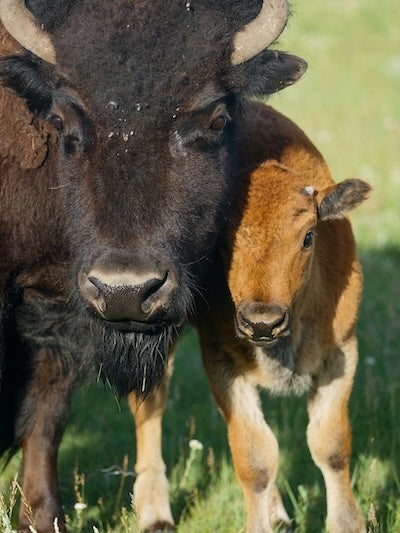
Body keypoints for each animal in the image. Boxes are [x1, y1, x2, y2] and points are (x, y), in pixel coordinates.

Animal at [0, 1, 306, 532]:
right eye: (60, 118)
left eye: (216, 119)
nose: (125, 291)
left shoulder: (57, 313)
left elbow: (44, 417)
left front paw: (42, 519)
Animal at [130, 105, 368, 532]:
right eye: (221, 243)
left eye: (308, 237)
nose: (262, 322)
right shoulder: (221, 360)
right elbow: (254, 457)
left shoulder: (342, 352)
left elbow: (330, 444)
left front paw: (346, 523)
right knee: (149, 402)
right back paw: (156, 514)